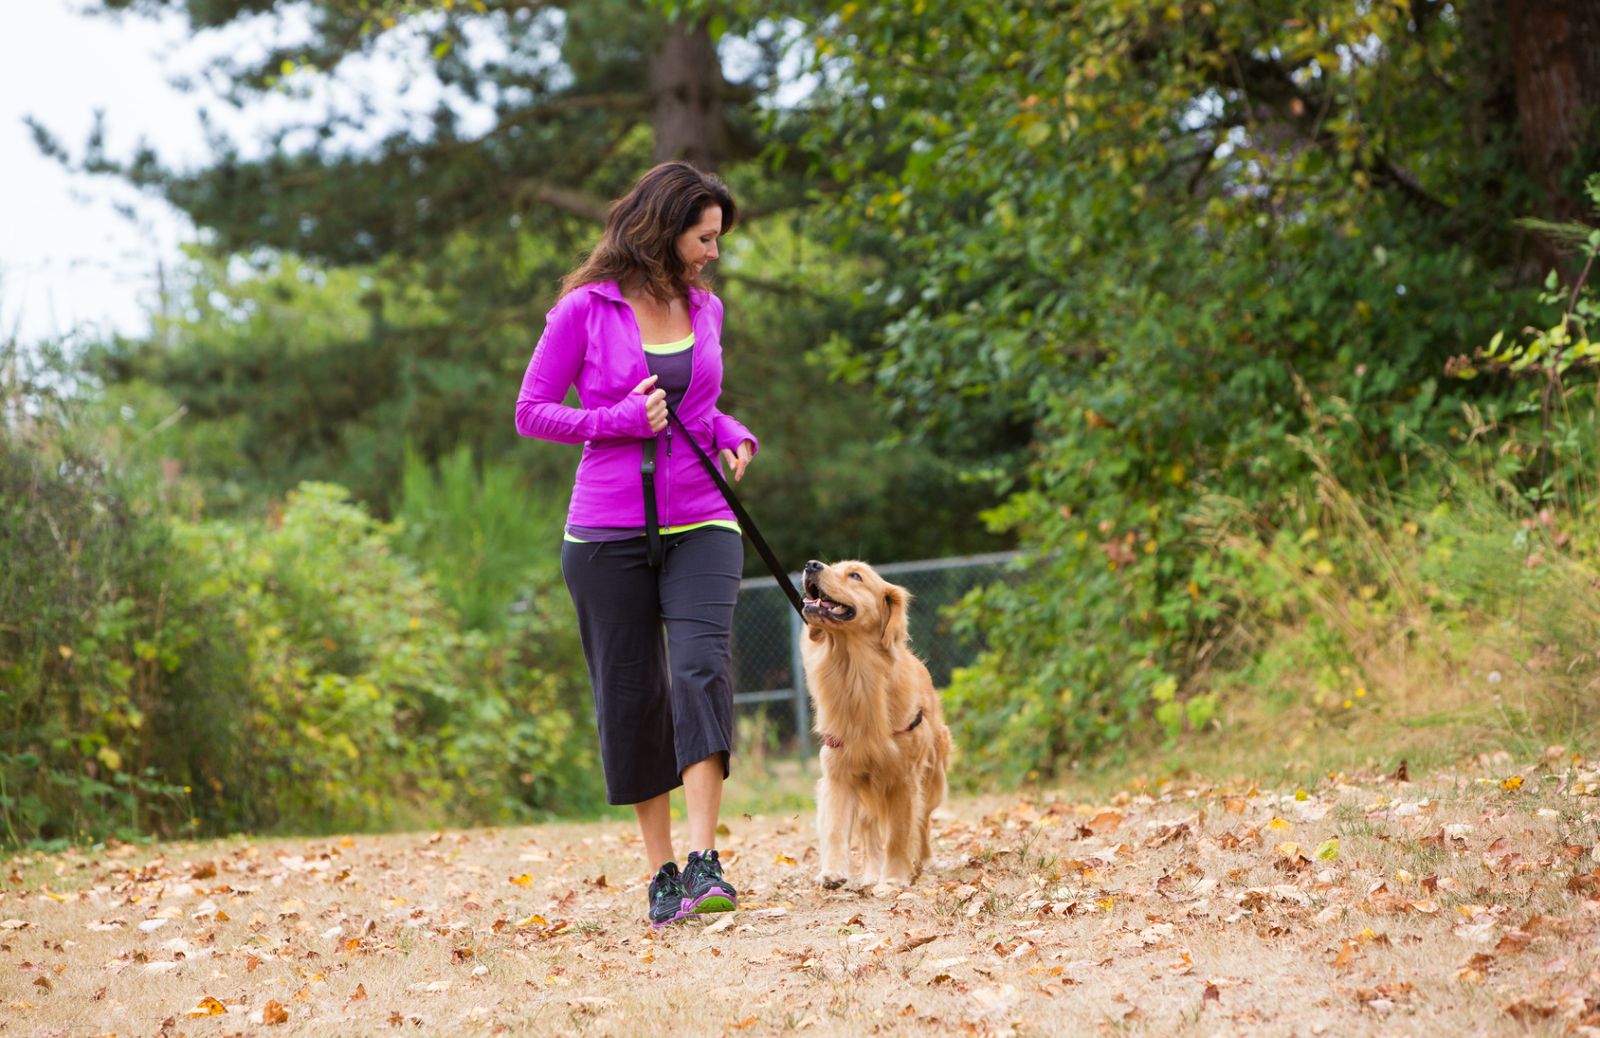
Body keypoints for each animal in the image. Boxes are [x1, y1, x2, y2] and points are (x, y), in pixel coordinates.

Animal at [800, 559, 947, 889]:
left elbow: (899, 835)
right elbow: (836, 828)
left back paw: (926, 862)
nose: (811, 564)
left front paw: (893, 879)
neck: (855, 673)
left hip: (932, 781)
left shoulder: (904, 779)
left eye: (855, 575)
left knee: (924, 823)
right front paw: (833, 871)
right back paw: (869, 873)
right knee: (868, 830)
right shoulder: (839, 773)